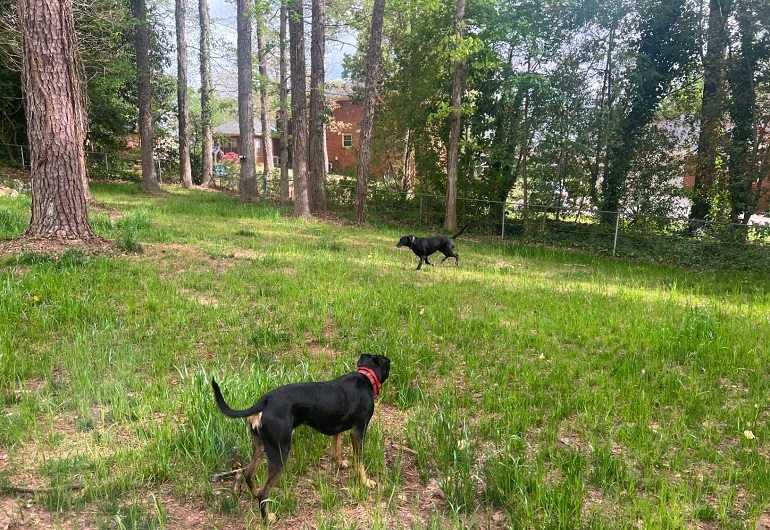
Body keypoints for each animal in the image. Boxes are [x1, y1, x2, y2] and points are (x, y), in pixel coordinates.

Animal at [210, 352, 390, 516]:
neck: (366, 377)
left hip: (260, 447)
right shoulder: (358, 431)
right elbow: (360, 462)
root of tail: (264, 401)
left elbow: (336, 449)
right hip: (280, 453)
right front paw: (365, 482)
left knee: (249, 475)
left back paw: (255, 496)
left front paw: (340, 464)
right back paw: (269, 518)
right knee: (264, 491)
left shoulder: (337, 429)